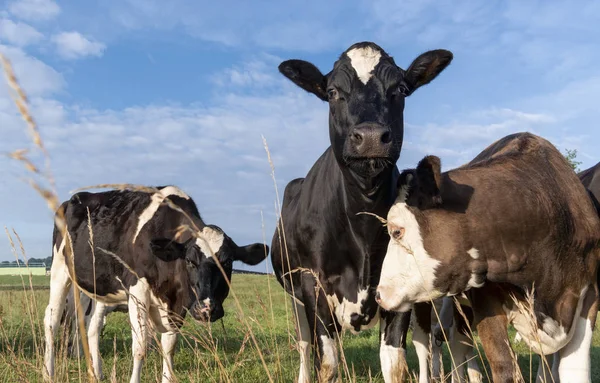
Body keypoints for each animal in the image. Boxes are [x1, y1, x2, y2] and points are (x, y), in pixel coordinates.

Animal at [42, 186, 268, 383]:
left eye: (228, 262)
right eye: (189, 261)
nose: (206, 309)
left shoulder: (176, 305)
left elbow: (169, 346)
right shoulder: (138, 291)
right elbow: (140, 346)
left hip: (99, 289)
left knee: (91, 325)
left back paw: (96, 373)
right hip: (60, 270)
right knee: (52, 320)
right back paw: (48, 373)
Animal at [270, 40, 452, 382]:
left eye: (401, 89)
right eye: (332, 91)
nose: (369, 137)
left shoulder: (400, 284)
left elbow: (394, 364)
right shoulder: (312, 285)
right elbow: (326, 363)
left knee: (425, 344)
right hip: (295, 295)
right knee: (304, 345)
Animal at [376, 133, 600, 383]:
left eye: (396, 231)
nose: (379, 294)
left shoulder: (588, 295)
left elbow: (574, 371)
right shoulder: (485, 299)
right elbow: (504, 365)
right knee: (436, 342)